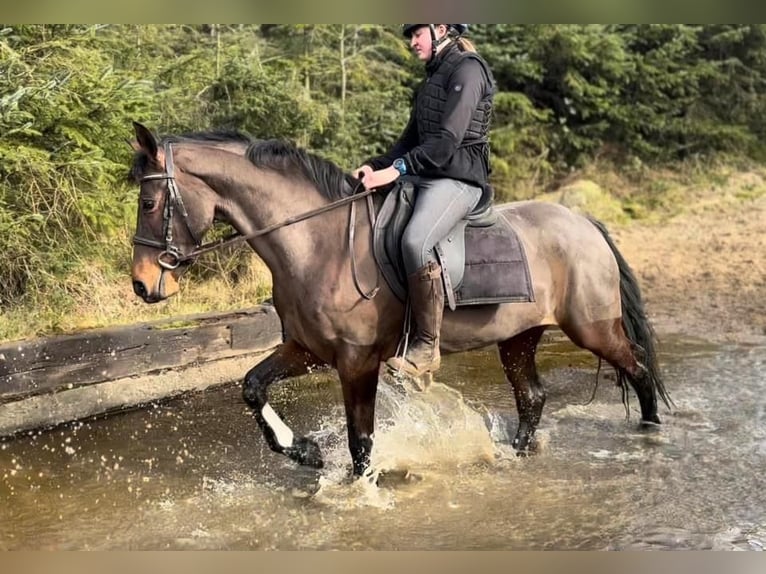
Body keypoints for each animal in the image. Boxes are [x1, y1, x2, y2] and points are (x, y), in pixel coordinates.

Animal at [130, 120, 672, 476]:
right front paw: (304, 451)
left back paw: (652, 432)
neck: (319, 243)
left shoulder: (357, 361)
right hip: (519, 336)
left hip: (593, 328)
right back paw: (511, 456)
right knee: (532, 398)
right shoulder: (307, 350)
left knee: (639, 368)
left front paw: (357, 487)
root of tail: (584, 222)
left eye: (149, 202)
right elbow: (252, 387)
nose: (141, 285)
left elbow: (361, 440)